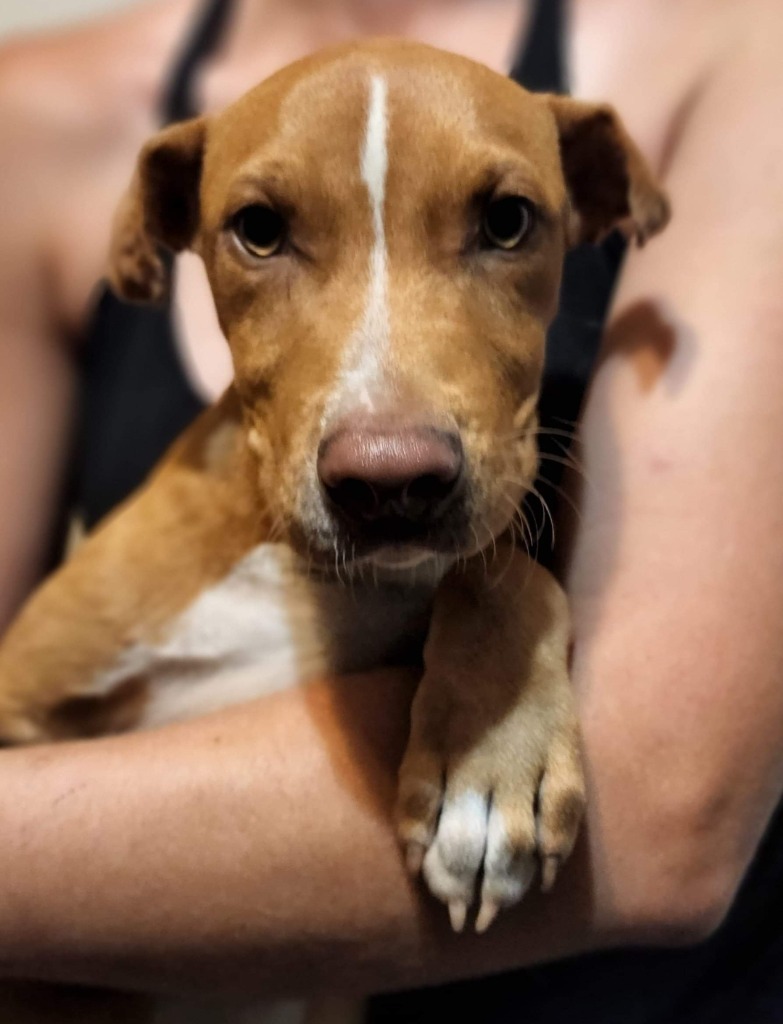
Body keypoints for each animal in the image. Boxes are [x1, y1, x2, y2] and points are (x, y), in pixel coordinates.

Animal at [0, 39, 667, 942]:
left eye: (507, 220)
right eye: (258, 232)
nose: (391, 483)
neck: (301, 572)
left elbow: (502, 570)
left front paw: (488, 765)